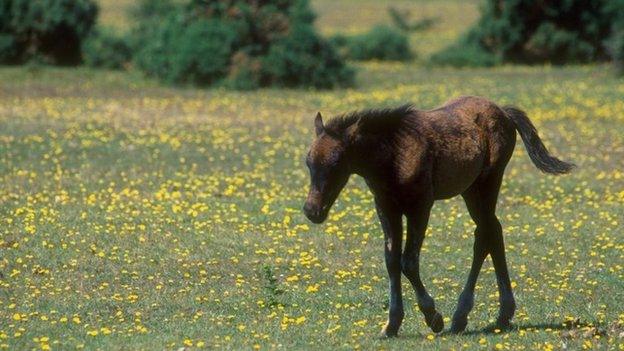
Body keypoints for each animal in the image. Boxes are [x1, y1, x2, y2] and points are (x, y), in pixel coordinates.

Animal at [304, 95, 576, 336]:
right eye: (308, 162)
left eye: (336, 162)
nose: (311, 210)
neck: (394, 155)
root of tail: (504, 112)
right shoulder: (386, 207)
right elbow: (391, 261)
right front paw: (392, 324)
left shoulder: (420, 207)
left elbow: (408, 262)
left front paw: (433, 317)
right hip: (470, 190)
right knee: (492, 232)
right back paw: (500, 315)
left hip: (488, 182)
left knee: (485, 235)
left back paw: (464, 316)